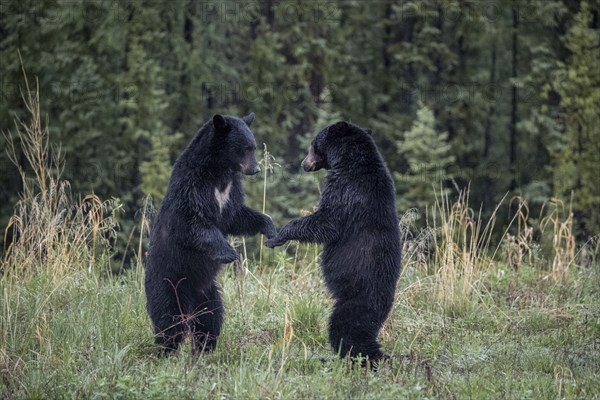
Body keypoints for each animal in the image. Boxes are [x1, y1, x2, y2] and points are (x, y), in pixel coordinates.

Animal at [145, 111, 276, 354]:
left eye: (253, 147)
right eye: (245, 148)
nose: (255, 169)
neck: (218, 170)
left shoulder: (230, 189)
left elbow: (237, 216)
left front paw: (271, 229)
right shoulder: (192, 187)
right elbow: (193, 224)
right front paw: (229, 253)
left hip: (208, 293)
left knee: (210, 319)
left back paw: (204, 348)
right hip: (167, 282)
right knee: (169, 319)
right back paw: (166, 350)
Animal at [264, 120, 400, 364]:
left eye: (312, 146)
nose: (303, 163)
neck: (349, 161)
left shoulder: (347, 190)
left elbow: (327, 220)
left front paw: (277, 237)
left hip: (355, 301)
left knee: (344, 329)